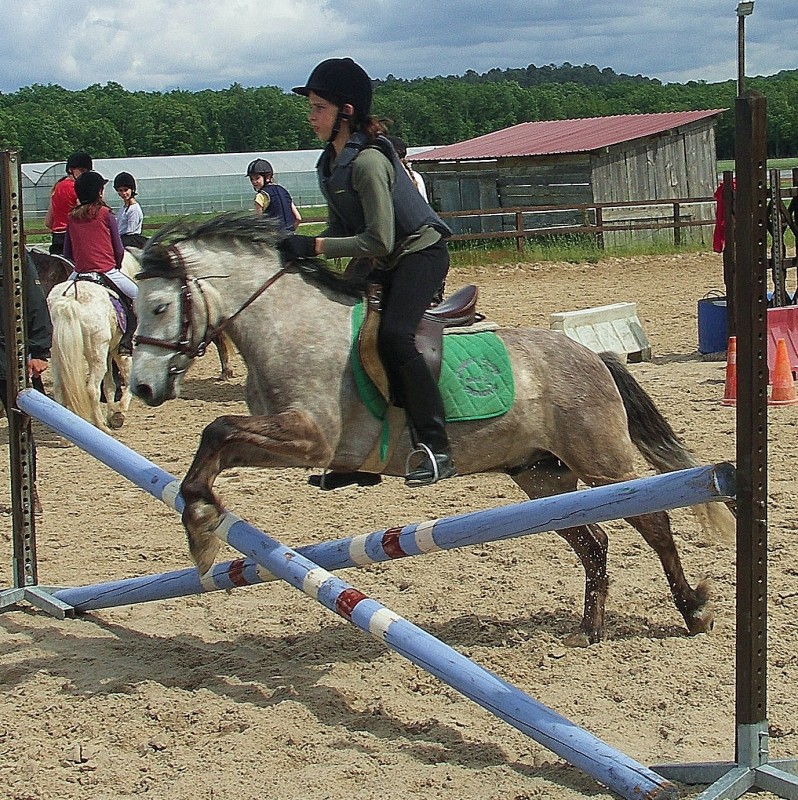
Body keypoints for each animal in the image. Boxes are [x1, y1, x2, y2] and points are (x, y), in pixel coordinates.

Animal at [46, 256, 137, 432]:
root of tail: (70, 299)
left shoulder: (108, 353)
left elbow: (109, 385)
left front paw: (112, 413)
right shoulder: (120, 351)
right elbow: (128, 377)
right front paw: (119, 413)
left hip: (59, 355)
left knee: (59, 388)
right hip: (97, 354)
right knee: (92, 389)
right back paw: (101, 426)